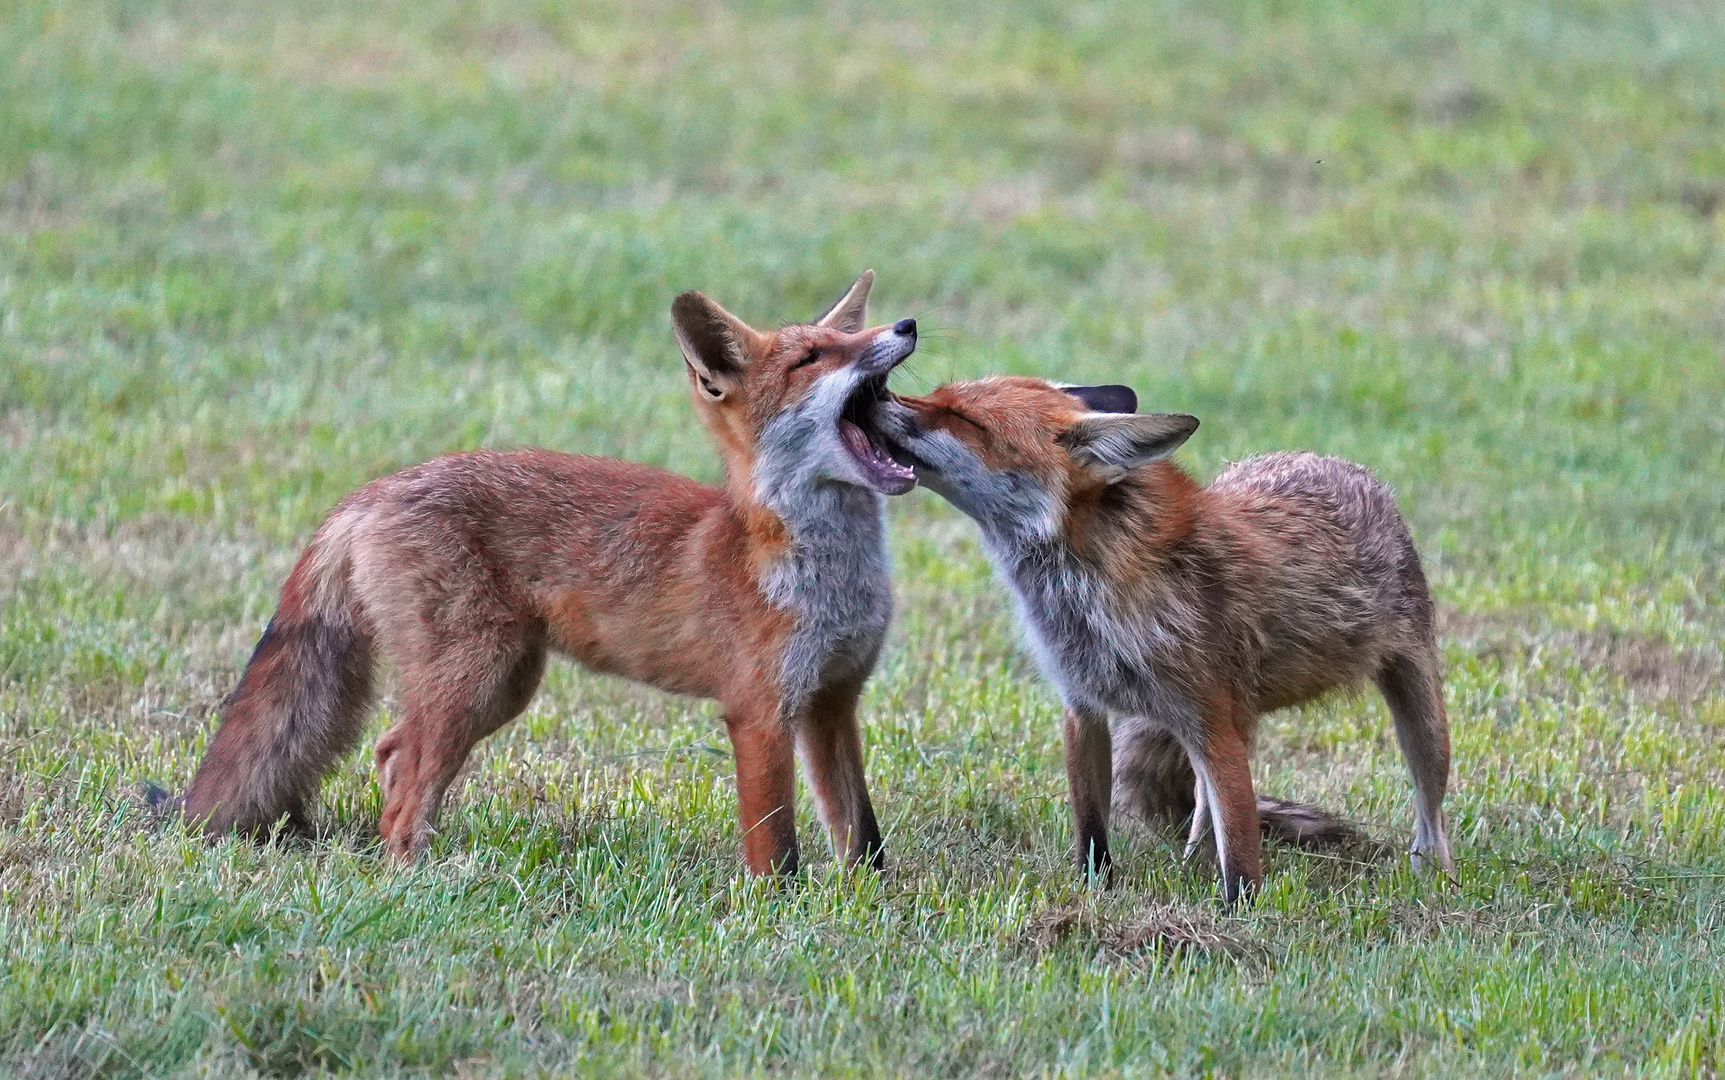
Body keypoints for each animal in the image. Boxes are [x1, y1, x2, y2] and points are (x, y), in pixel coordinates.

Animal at [158, 270, 917, 876]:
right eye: (811, 358)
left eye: (848, 338)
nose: (907, 324)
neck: (821, 576)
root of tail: (367, 491)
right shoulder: (758, 711)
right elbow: (775, 845)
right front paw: (775, 911)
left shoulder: (832, 701)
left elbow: (862, 833)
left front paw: (868, 904)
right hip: (476, 677)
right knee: (404, 779)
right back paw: (417, 882)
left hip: (502, 685)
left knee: (391, 753)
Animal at [876, 374, 1455, 897]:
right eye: (936, 393)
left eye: (964, 418)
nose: (875, 392)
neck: (1092, 591)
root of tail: (1342, 465)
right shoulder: (1083, 707)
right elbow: (1093, 832)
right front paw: (1096, 894)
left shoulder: (1211, 721)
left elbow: (1241, 863)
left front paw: (1241, 923)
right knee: (1200, 807)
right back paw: (1191, 863)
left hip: (1420, 720)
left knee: (1431, 811)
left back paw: (1434, 876)